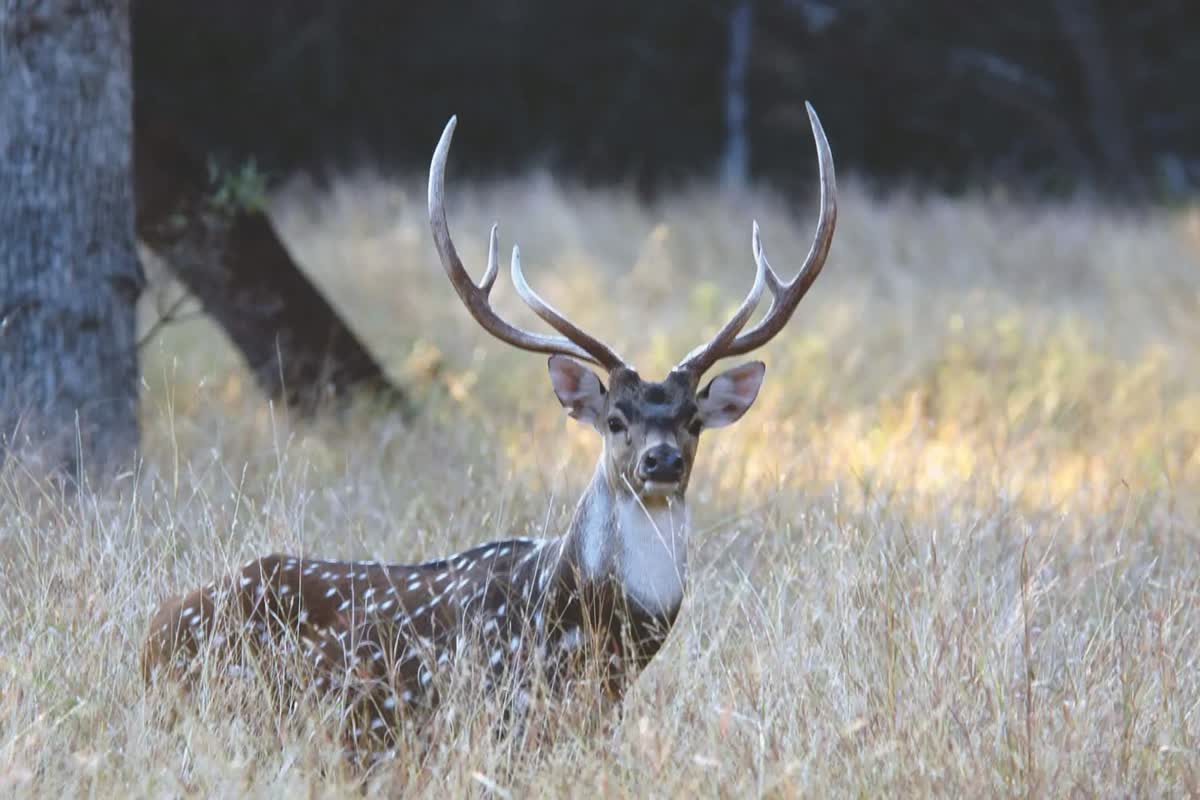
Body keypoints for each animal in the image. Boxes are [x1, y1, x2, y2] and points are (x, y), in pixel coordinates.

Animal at [140, 102, 836, 753]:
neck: (594, 629)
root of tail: (151, 631)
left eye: (693, 419)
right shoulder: (500, 712)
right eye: (616, 419)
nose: (660, 461)